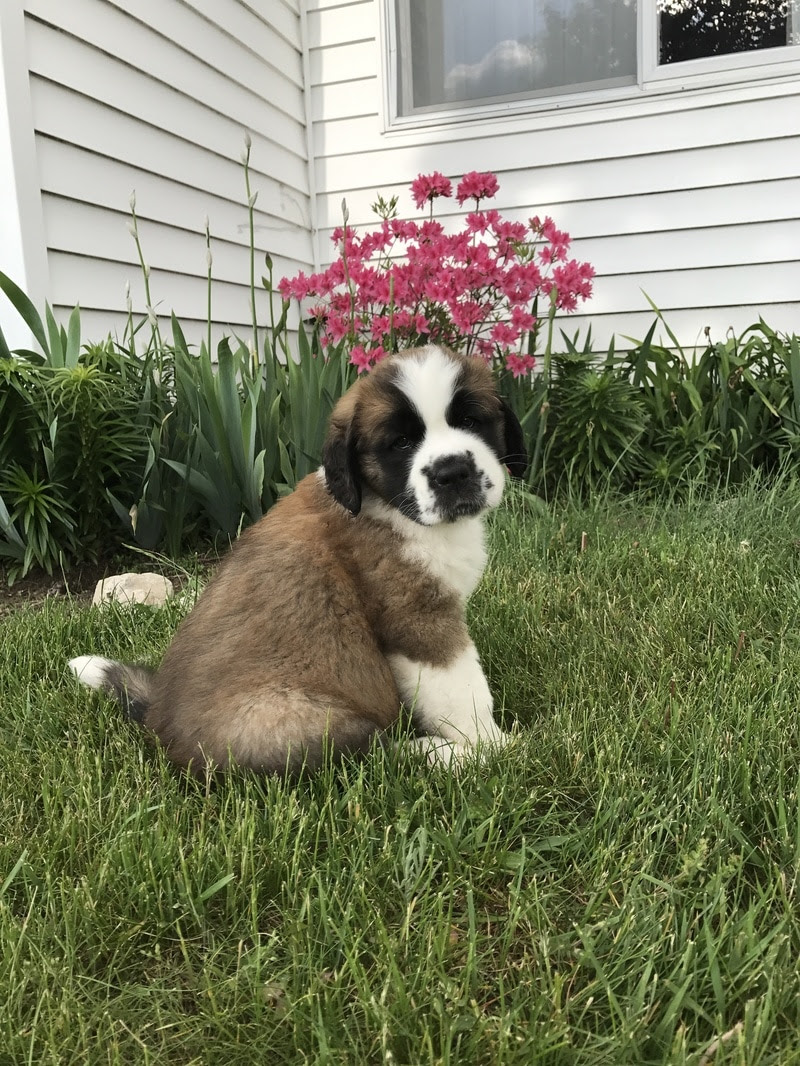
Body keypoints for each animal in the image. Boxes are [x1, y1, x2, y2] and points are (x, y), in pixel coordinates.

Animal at [68, 345, 529, 771]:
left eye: (471, 421)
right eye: (400, 443)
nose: (453, 472)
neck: (385, 503)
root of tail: (159, 729)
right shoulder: (419, 621)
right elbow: (463, 689)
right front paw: (493, 746)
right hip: (305, 719)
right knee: (375, 753)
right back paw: (447, 755)